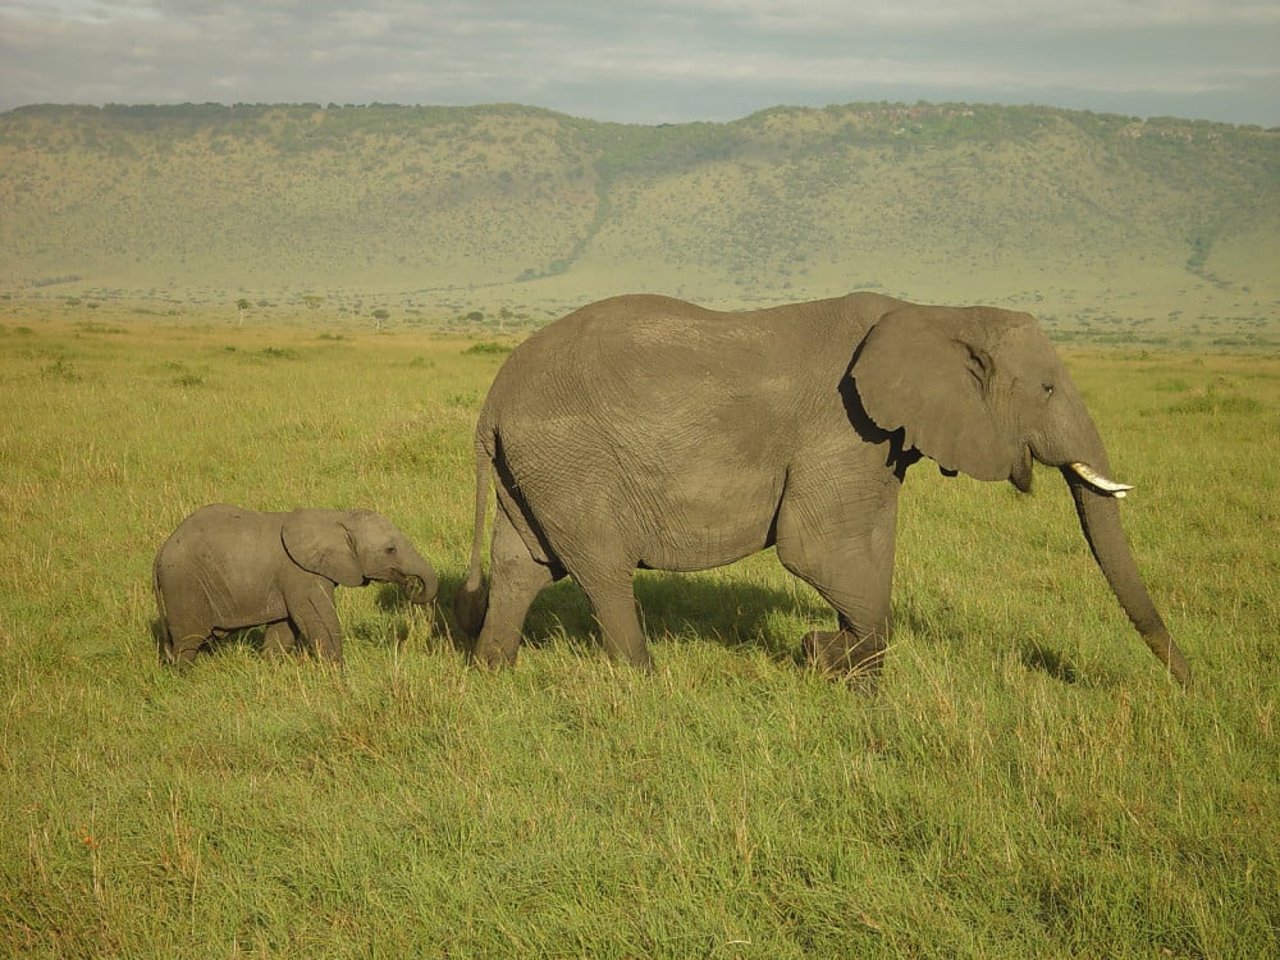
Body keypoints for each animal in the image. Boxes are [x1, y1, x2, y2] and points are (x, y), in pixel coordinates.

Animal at [151, 504, 435, 670]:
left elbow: (284, 628)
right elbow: (318, 620)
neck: (337, 517)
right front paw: (339, 675)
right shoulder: (300, 574)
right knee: (189, 641)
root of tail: (161, 552)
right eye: (390, 550)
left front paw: (271, 669)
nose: (411, 586)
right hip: (184, 584)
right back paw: (185, 676)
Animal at [453, 291, 1187, 686]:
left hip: (537, 468)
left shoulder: (877, 442)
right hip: (572, 461)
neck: (935, 312)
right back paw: (647, 682)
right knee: (602, 571)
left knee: (522, 566)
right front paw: (833, 663)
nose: (1190, 685)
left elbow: (868, 550)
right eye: (1048, 389)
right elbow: (817, 553)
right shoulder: (842, 427)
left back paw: (492, 673)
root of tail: (492, 401)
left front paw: (839, 667)